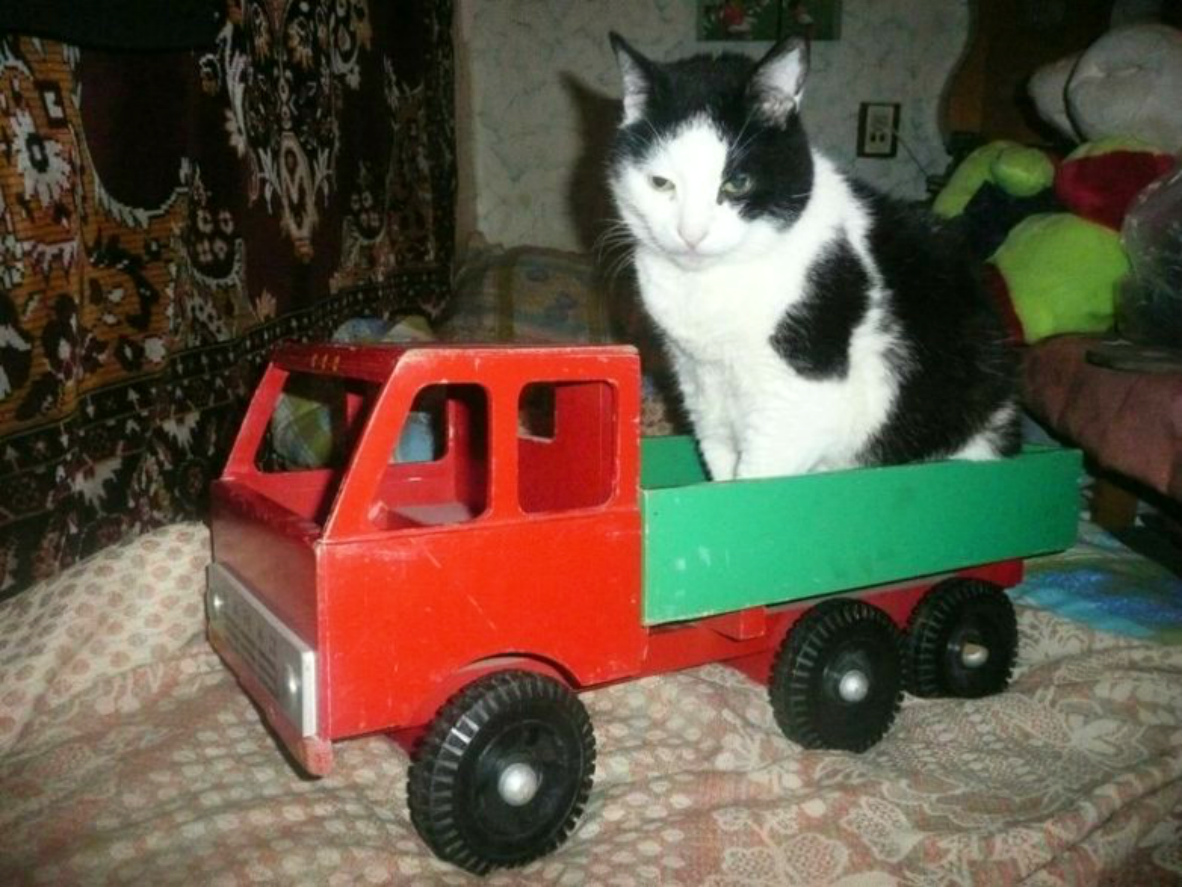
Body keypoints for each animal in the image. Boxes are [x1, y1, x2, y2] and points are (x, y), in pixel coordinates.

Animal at [606, 33, 1021, 481]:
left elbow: (755, 479)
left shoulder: (800, 400)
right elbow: (721, 473)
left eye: (738, 183)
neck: (708, 285)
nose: (691, 234)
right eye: (660, 183)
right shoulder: (701, 387)